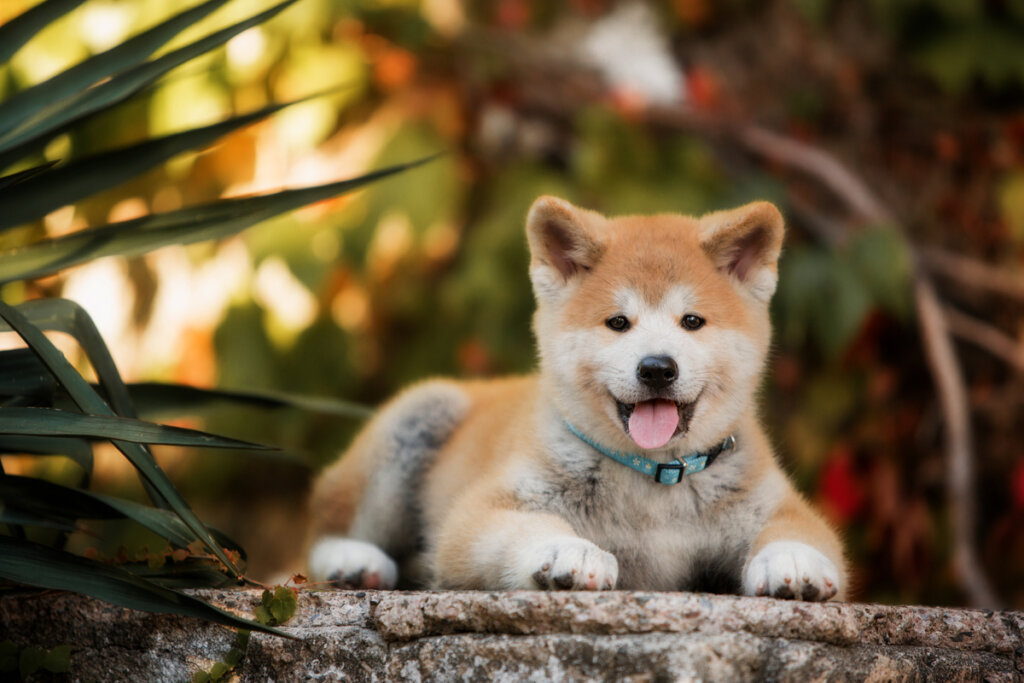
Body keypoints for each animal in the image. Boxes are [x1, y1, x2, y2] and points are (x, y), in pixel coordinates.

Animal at [305, 194, 847, 602]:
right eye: (618, 322)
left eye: (692, 321)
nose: (656, 368)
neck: (653, 484)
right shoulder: (481, 512)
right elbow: (525, 527)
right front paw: (568, 551)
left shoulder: (777, 505)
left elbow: (798, 531)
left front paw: (792, 559)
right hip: (420, 415)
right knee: (318, 536)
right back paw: (352, 561)